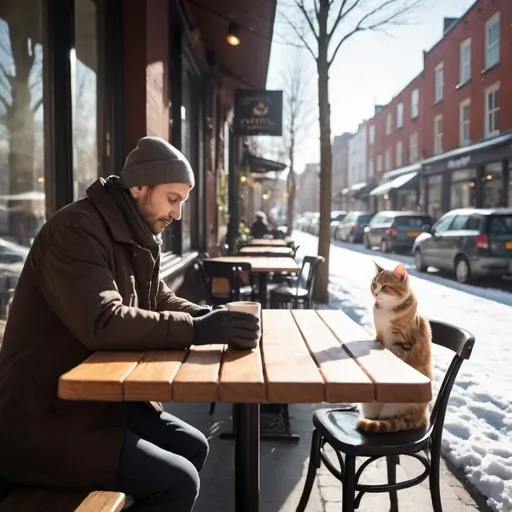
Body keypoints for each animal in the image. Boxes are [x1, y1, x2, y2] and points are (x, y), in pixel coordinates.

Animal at [356, 262, 432, 434]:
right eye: (374, 285)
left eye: (385, 287)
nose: (376, 293)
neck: (386, 310)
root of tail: (423, 416)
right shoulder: (379, 335)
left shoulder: (403, 341)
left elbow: (398, 356)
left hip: (395, 408)